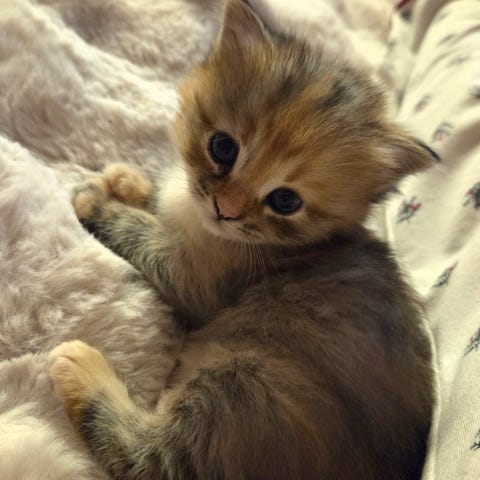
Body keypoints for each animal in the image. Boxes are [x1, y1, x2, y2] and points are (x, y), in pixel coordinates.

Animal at [49, 1, 436, 478]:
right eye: (223, 147)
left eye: (285, 200)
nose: (226, 209)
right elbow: (163, 202)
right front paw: (131, 183)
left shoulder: (193, 279)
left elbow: (141, 233)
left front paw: (98, 202)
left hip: (241, 383)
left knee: (151, 461)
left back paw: (80, 369)